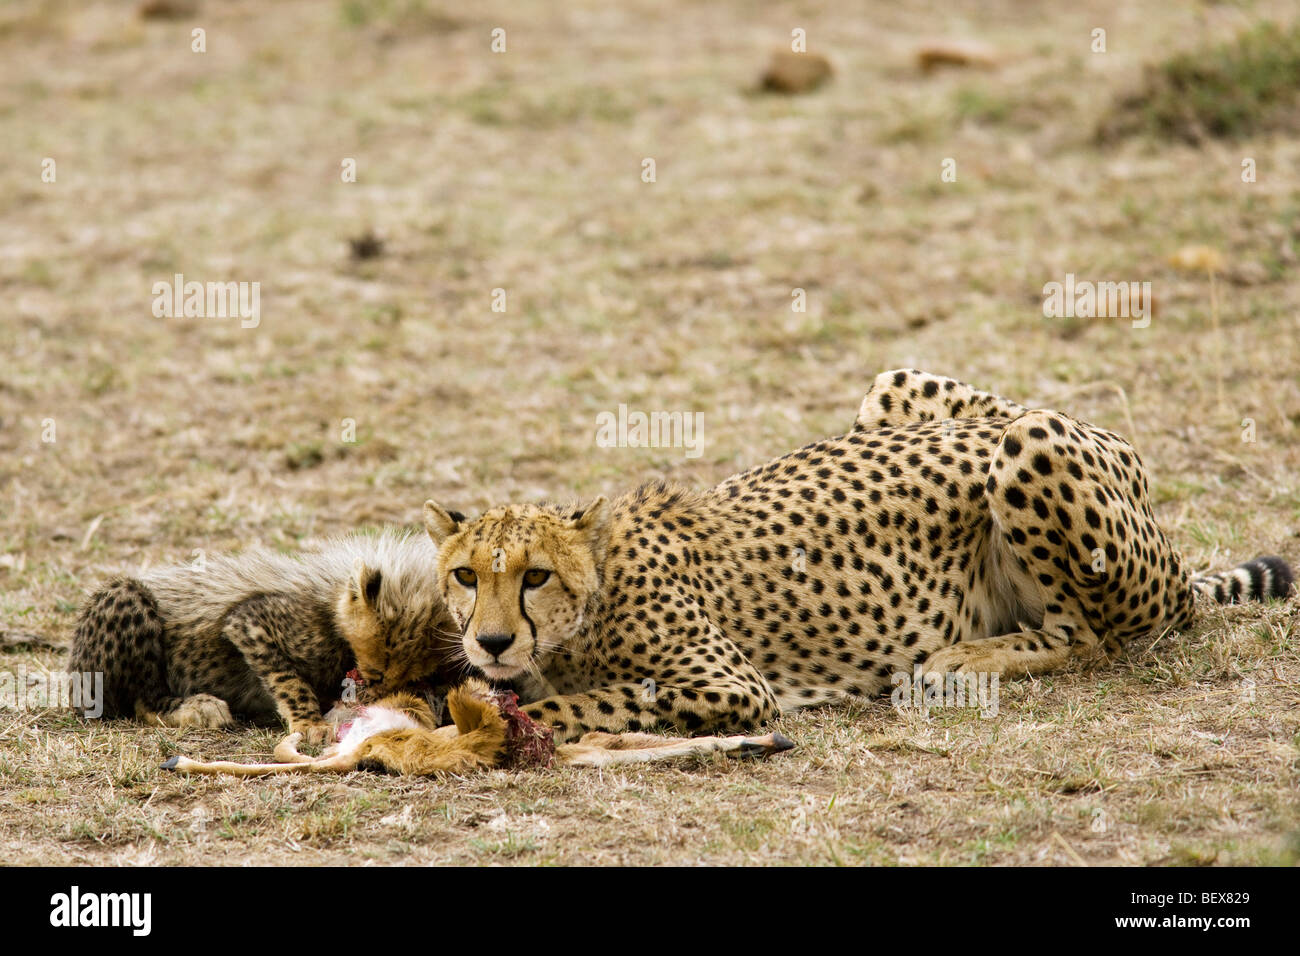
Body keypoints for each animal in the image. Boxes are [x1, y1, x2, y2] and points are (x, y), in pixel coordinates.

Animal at [423, 371, 1289, 738]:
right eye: (465, 576)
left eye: (535, 577)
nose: (490, 640)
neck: (591, 602)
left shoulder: (735, 687)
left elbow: (578, 704)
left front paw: (484, 720)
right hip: (899, 385)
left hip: (1032, 443)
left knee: (1089, 637)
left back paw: (961, 660)